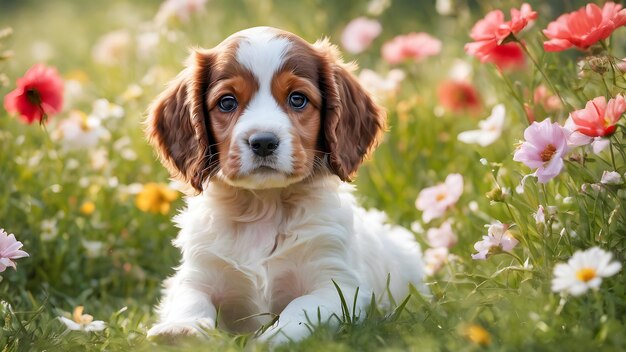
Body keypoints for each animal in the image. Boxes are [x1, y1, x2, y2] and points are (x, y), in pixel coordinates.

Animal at [146, 26, 426, 346]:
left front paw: (271, 337)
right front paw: (180, 329)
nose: (263, 142)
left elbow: (301, 307)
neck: (264, 206)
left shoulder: (336, 284)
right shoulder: (197, 272)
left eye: (297, 99)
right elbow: (190, 298)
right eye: (227, 102)